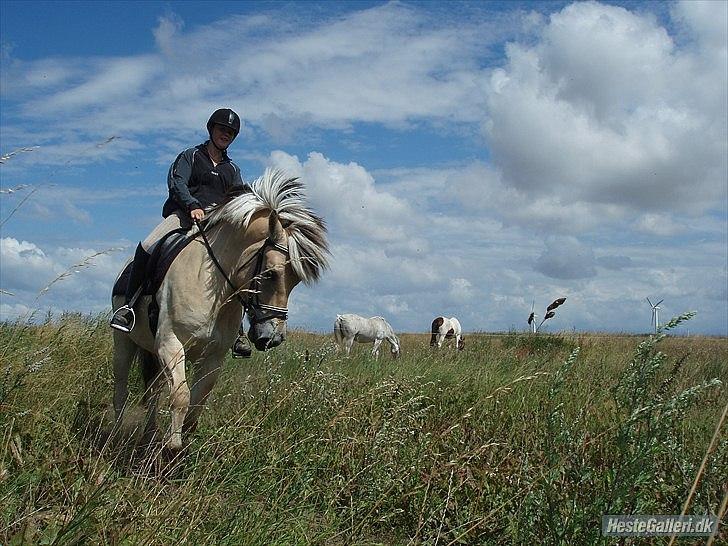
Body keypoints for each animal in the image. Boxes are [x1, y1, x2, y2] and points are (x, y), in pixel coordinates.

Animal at [111, 170, 328, 450]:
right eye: (270, 273)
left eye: (296, 281)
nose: (273, 338)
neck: (213, 290)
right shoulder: (171, 344)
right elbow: (181, 397)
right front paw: (171, 448)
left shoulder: (213, 356)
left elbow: (197, 403)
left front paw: (182, 449)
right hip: (123, 342)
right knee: (121, 387)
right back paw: (115, 435)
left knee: (154, 391)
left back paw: (149, 435)